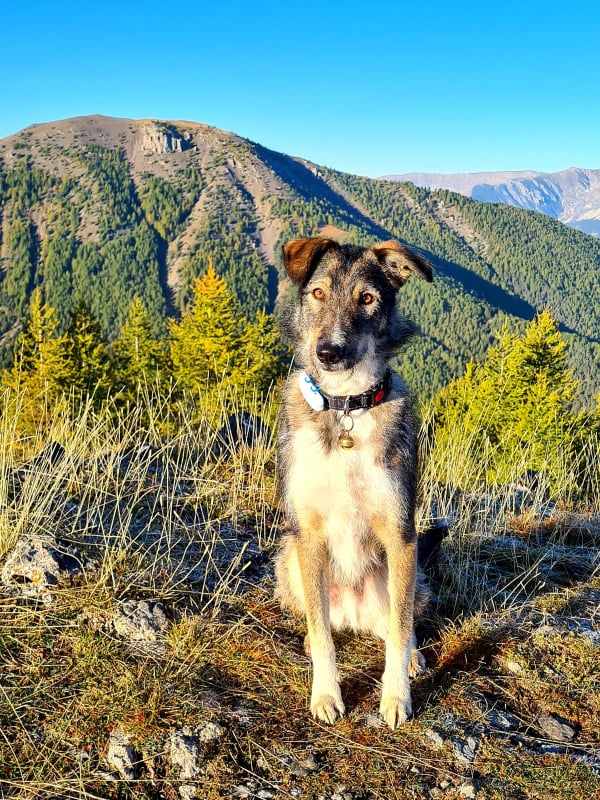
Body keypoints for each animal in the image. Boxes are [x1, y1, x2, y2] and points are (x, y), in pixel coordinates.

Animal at [274, 234, 434, 728]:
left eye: (366, 299)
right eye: (318, 293)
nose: (329, 352)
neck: (346, 406)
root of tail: (353, 614)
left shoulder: (401, 534)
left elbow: (400, 632)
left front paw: (396, 698)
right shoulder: (307, 533)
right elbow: (322, 634)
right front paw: (326, 695)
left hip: (408, 570)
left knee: (398, 622)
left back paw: (414, 657)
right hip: (288, 557)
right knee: (321, 620)